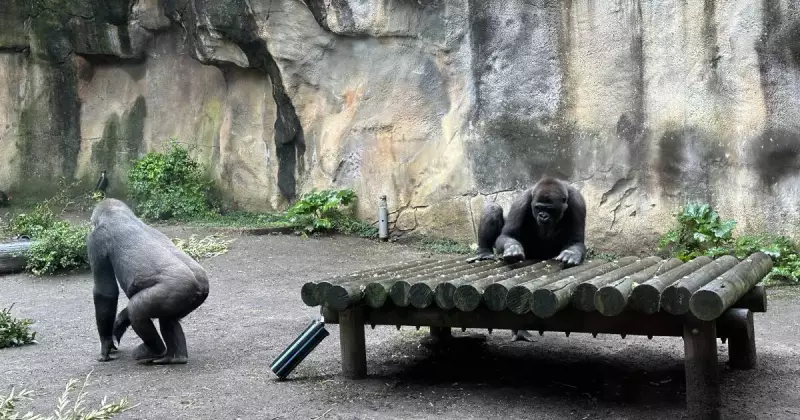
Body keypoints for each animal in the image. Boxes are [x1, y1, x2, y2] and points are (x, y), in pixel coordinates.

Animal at [87, 198, 209, 364]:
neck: (117, 214)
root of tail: (200, 286)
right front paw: (119, 323)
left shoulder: (95, 240)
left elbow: (105, 292)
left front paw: (106, 343)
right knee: (168, 318)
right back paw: (176, 357)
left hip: (179, 289)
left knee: (136, 310)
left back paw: (155, 351)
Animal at [468, 176, 587, 342]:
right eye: (538, 207)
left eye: (550, 209)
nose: (543, 215)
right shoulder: (522, 201)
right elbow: (508, 235)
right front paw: (512, 248)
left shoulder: (577, 201)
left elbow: (576, 240)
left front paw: (571, 253)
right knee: (493, 208)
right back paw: (484, 252)